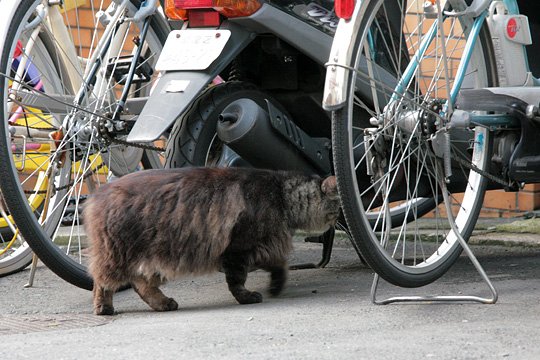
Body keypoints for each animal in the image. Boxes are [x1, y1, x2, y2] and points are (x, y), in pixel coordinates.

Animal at [84, 167, 338, 314]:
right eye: (335, 209)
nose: (339, 220)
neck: (281, 195)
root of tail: (98, 194)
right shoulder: (239, 248)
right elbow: (237, 281)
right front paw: (247, 297)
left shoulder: (265, 245)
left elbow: (279, 266)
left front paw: (276, 286)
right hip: (120, 254)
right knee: (102, 281)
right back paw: (103, 308)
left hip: (153, 256)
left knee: (141, 283)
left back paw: (164, 303)